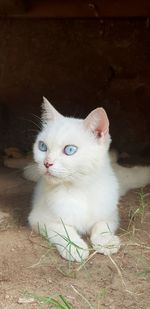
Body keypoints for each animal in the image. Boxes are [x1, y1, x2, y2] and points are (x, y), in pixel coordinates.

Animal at [27, 97, 150, 262]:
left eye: (70, 150)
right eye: (42, 147)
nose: (46, 163)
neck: (79, 187)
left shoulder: (110, 214)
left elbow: (101, 225)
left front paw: (106, 241)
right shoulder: (39, 218)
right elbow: (62, 229)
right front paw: (74, 247)